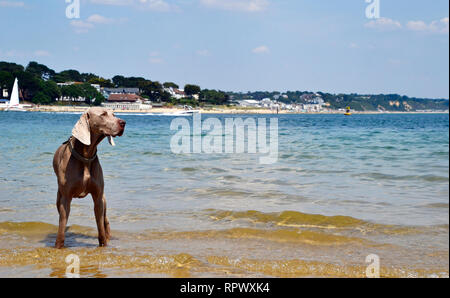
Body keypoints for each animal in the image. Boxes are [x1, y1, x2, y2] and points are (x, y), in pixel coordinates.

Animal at [53, 108, 126, 248]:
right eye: (103, 114)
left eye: (114, 114)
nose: (123, 122)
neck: (86, 155)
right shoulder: (65, 198)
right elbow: (61, 226)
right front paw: (59, 246)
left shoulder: (98, 197)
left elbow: (100, 227)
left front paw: (103, 244)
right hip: (59, 198)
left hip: (104, 199)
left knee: (105, 220)